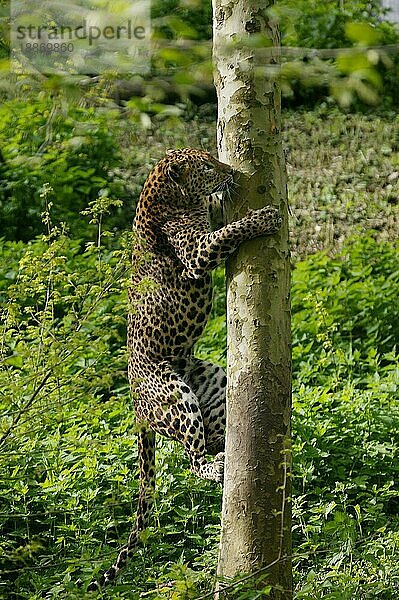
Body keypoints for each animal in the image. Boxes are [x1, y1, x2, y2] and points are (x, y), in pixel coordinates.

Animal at [88, 148, 282, 588]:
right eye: (206, 166)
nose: (228, 170)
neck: (166, 195)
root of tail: (135, 407)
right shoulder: (196, 253)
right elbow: (230, 231)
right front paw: (265, 217)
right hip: (176, 394)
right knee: (192, 462)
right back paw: (216, 467)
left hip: (214, 383)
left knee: (212, 440)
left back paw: (229, 453)